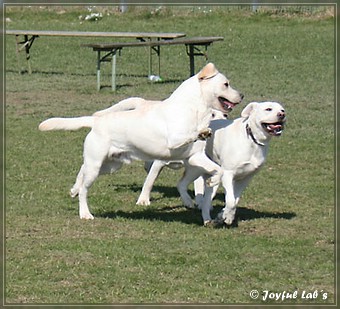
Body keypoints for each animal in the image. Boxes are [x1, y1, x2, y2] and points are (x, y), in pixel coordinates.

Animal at [38, 62, 243, 219]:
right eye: (226, 84)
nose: (242, 95)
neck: (194, 110)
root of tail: (96, 121)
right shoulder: (174, 140)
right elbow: (189, 136)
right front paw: (202, 132)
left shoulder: (195, 157)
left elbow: (217, 170)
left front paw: (211, 182)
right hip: (97, 166)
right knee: (84, 190)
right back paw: (85, 213)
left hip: (110, 165)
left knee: (82, 171)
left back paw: (73, 190)